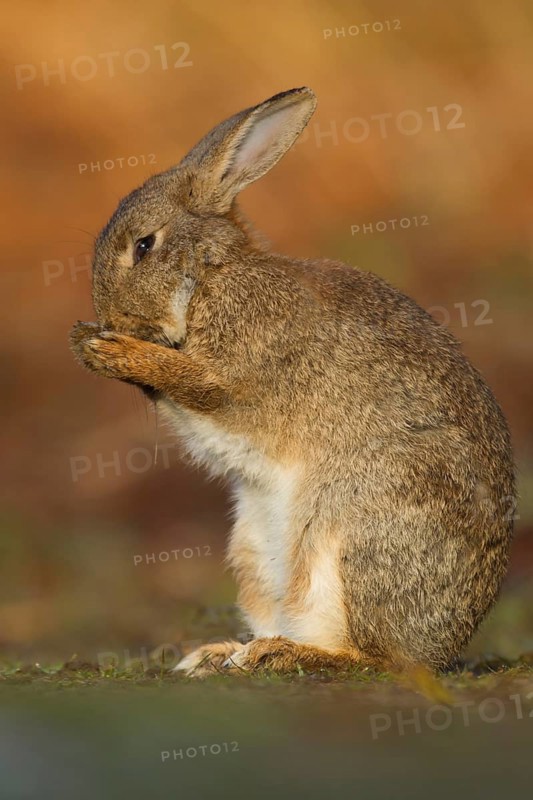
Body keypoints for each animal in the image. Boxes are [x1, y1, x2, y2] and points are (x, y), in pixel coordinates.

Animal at [70, 87, 515, 677]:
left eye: (144, 245)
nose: (111, 318)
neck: (211, 274)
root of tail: (443, 648)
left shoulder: (235, 368)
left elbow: (197, 381)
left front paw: (106, 348)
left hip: (353, 532)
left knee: (375, 657)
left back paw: (278, 654)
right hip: (254, 549)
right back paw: (220, 655)